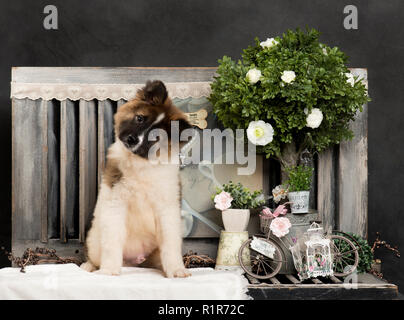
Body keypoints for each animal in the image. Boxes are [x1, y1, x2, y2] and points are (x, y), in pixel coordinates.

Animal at [81, 80, 192, 278]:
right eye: (140, 118)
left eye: (156, 137)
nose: (132, 139)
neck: (141, 164)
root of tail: (135, 261)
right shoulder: (115, 203)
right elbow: (112, 242)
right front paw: (109, 270)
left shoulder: (167, 208)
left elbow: (170, 243)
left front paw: (176, 270)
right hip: (94, 240)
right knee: (95, 257)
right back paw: (89, 266)